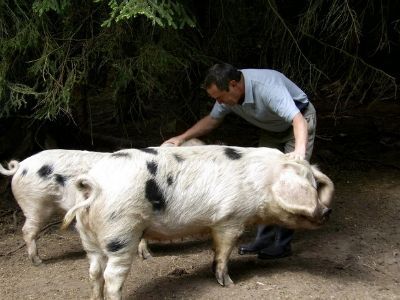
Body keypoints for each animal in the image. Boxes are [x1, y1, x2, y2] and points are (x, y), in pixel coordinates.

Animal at [61, 145, 332, 300]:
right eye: (311, 185)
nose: (327, 211)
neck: (263, 181)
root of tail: (91, 183)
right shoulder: (230, 219)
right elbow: (223, 251)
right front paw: (229, 285)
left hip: (87, 235)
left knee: (94, 272)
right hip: (121, 232)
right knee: (111, 276)